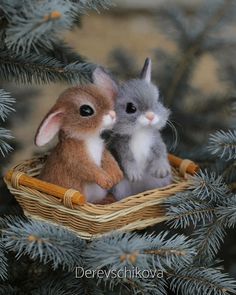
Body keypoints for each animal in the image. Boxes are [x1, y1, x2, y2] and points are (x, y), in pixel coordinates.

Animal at [35, 68, 123, 205]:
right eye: (86, 110)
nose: (113, 114)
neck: (89, 137)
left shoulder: (102, 150)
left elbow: (109, 158)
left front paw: (117, 176)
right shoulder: (73, 156)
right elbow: (88, 168)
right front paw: (106, 181)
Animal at [108, 57, 171, 201]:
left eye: (157, 101)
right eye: (130, 108)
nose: (151, 116)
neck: (141, 131)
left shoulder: (156, 141)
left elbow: (160, 152)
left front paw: (161, 170)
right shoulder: (122, 146)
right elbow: (128, 158)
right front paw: (135, 175)